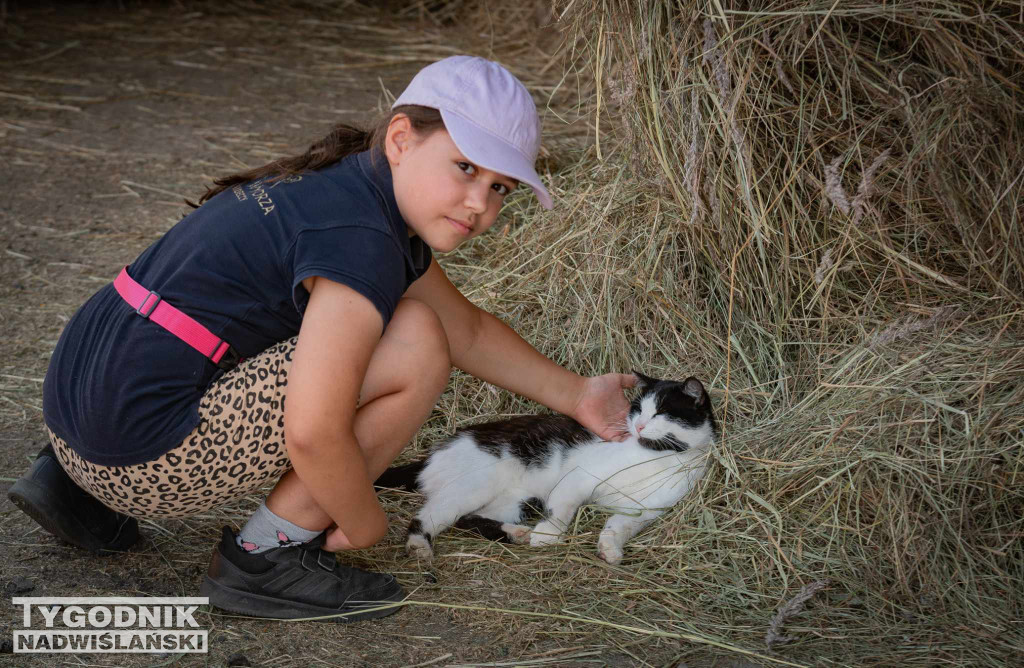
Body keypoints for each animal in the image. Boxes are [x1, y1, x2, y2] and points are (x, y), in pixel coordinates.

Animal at [372, 370, 716, 565]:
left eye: (661, 412)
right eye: (637, 409)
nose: (639, 425)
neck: (658, 456)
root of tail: (433, 454)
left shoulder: (644, 509)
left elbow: (619, 525)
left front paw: (609, 548)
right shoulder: (579, 476)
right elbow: (562, 508)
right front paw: (550, 533)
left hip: (516, 500)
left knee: (467, 520)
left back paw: (516, 534)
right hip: (478, 482)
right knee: (429, 516)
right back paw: (419, 546)